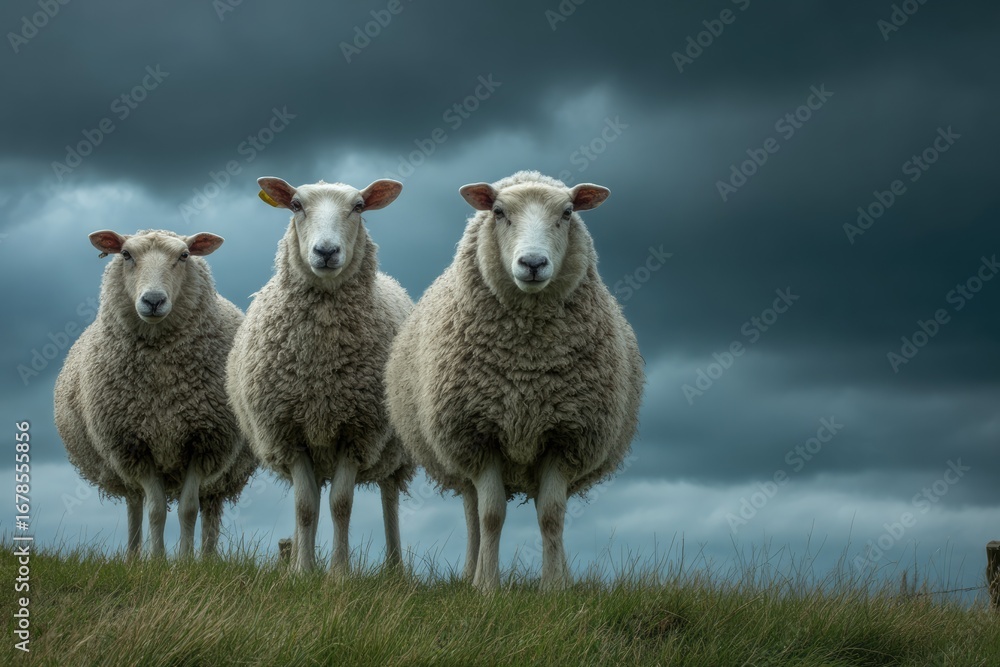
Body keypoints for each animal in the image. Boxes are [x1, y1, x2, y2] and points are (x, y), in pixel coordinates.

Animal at [54, 229, 253, 559]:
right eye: (125, 255)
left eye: (184, 256)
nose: (154, 300)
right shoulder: (134, 446)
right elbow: (156, 510)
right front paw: (157, 560)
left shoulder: (205, 443)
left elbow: (188, 509)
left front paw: (185, 561)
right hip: (123, 466)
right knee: (136, 504)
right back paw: (134, 556)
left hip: (225, 472)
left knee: (211, 507)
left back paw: (208, 558)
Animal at [226, 177, 414, 574]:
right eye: (296, 205)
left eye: (358, 206)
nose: (326, 251)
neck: (321, 365)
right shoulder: (289, 434)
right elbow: (305, 507)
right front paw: (302, 572)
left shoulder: (356, 432)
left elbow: (341, 505)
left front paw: (338, 574)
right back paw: (295, 556)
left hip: (396, 451)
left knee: (389, 497)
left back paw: (394, 569)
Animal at [385, 170, 644, 592]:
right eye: (499, 212)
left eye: (567, 213)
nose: (533, 262)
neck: (526, 364)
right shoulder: (478, 436)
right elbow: (490, 515)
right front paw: (487, 587)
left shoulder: (565, 437)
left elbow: (552, 515)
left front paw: (554, 589)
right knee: (473, 512)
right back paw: (471, 575)